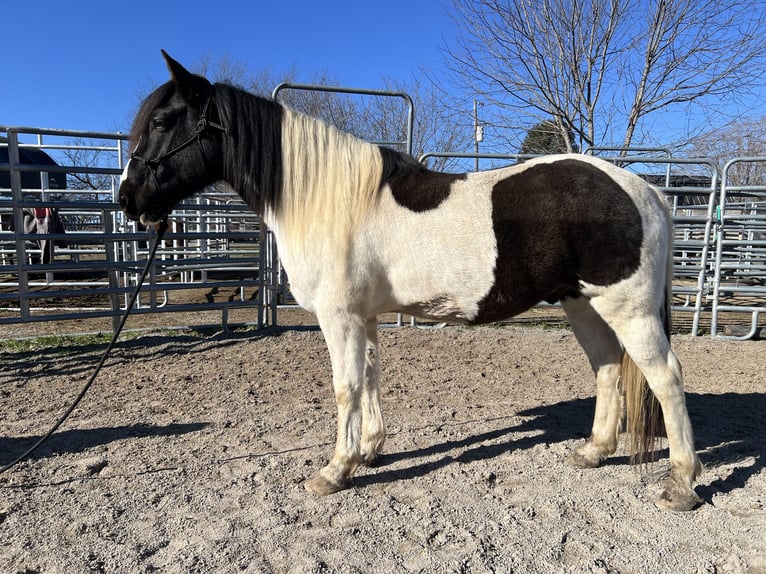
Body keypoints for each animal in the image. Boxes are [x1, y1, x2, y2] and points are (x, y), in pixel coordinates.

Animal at [118, 51, 704, 512]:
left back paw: (680, 484)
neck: (328, 199)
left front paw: (335, 470)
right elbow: (372, 377)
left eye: (164, 120)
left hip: (628, 308)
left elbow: (346, 386)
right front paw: (370, 449)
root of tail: (647, 191)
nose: (127, 200)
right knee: (607, 367)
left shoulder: (340, 317)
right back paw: (593, 451)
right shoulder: (365, 316)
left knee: (665, 377)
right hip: (580, 303)